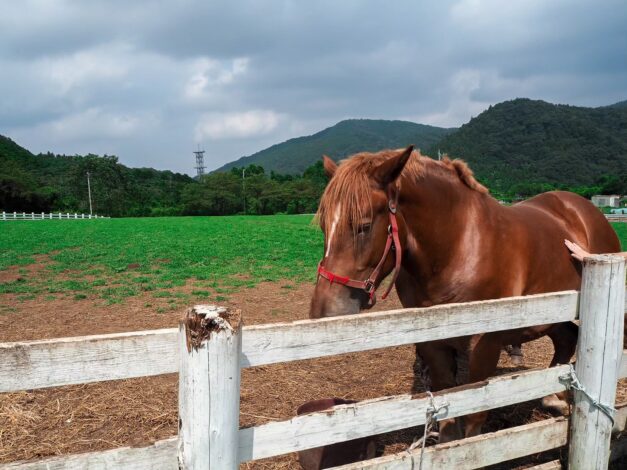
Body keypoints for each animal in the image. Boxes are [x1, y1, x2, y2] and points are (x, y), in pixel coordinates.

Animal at [306, 145, 620, 442]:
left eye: (364, 226)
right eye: (323, 226)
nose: (323, 314)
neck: (459, 246)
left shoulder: (485, 343)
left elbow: (473, 418)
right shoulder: (433, 342)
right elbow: (448, 412)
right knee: (568, 339)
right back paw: (553, 397)